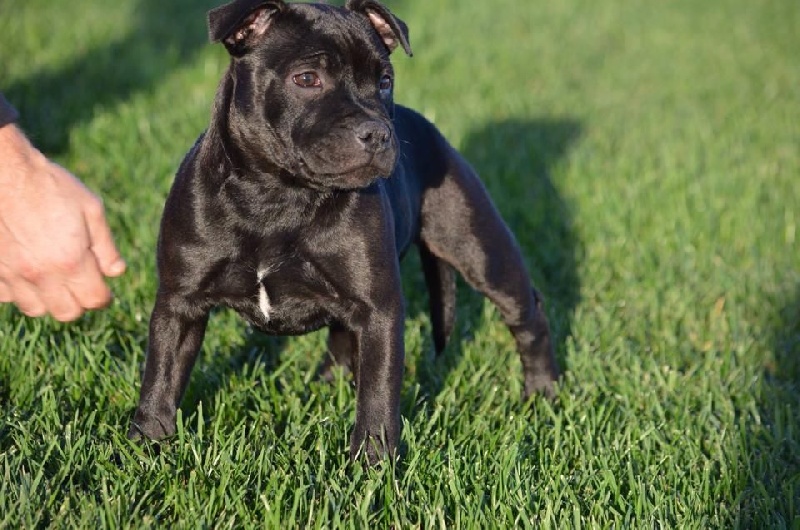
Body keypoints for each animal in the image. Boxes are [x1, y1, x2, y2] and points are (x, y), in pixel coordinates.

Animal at [128, 0, 560, 463]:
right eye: (306, 79)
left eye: (385, 81)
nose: (377, 132)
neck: (278, 197)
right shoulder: (180, 303)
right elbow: (161, 377)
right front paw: (146, 444)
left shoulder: (378, 310)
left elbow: (377, 394)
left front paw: (372, 464)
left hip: (479, 248)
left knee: (527, 314)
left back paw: (542, 394)